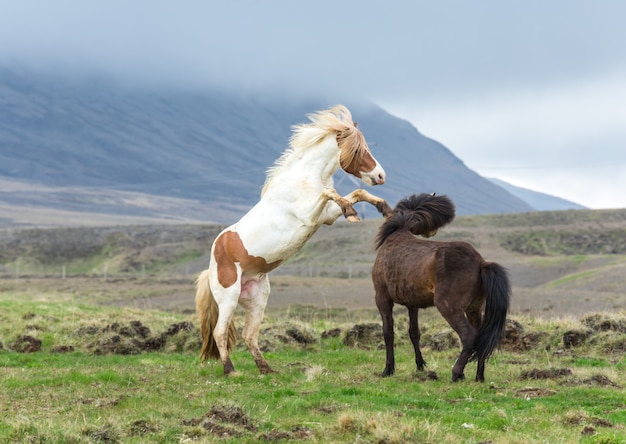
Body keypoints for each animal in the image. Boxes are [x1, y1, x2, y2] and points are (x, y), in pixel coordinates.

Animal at [196, 105, 390, 374]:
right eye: (360, 150)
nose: (381, 176)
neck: (303, 178)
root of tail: (211, 265)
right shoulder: (309, 214)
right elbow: (331, 192)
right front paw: (353, 213)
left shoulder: (326, 217)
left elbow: (355, 192)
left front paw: (384, 209)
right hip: (228, 297)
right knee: (220, 332)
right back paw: (231, 370)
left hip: (257, 298)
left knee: (249, 335)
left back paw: (266, 370)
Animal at [370, 194, 508, 382]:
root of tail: (481, 262)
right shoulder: (412, 304)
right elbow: (414, 332)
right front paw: (420, 365)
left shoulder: (382, 298)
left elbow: (388, 332)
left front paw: (388, 369)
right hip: (474, 308)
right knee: (481, 337)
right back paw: (479, 376)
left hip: (449, 307)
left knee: (469, 336)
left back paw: (457, 373)